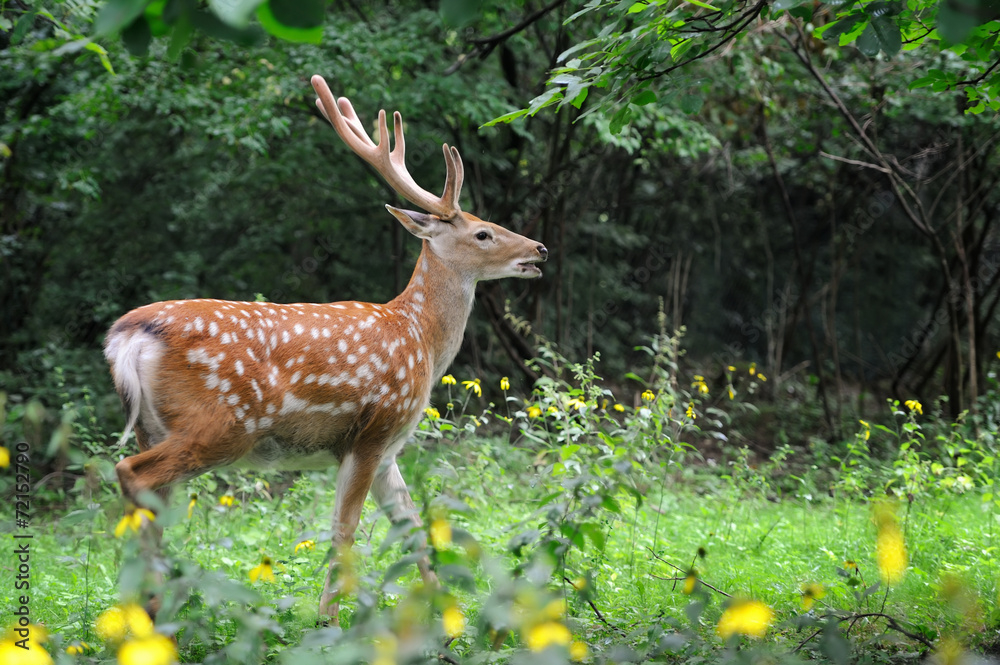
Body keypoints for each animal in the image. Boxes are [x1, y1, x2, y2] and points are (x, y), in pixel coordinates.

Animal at [103, 75, 548, 620]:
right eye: (483, 232)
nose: (538, 249)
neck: (419, 336)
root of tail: (127, 335)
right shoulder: (369, 432)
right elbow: (345, 530)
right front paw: (329, 620)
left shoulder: (391, 449)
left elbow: (413, 528)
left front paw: (448, 616)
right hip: (221, 422)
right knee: (133, 475)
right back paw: (150, 607)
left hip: (152, 425)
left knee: (152, 506)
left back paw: (148, 612)